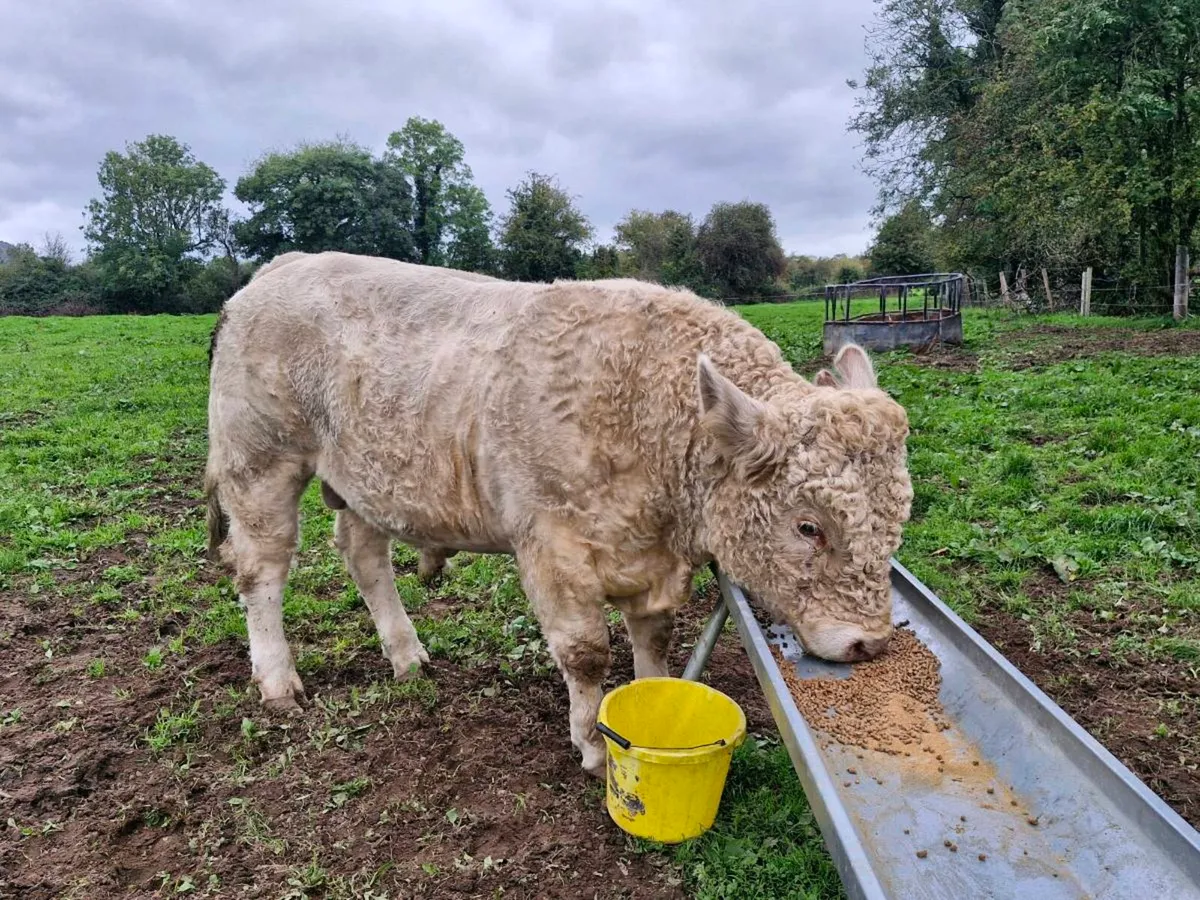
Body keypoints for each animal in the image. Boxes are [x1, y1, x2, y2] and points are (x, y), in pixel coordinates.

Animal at [204, 250, 913, 777]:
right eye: (809, 527)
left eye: (898, 520)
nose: (871, 644)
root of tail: (281, 267)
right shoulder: (553, 547)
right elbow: (585, 652)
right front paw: (594, 743)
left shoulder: (650, 558)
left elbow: (653, 640)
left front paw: (649, 706)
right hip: (259, 460)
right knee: (260, 569)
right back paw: (278, 681)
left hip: (367, 476)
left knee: (361, 551)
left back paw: (407, 656)